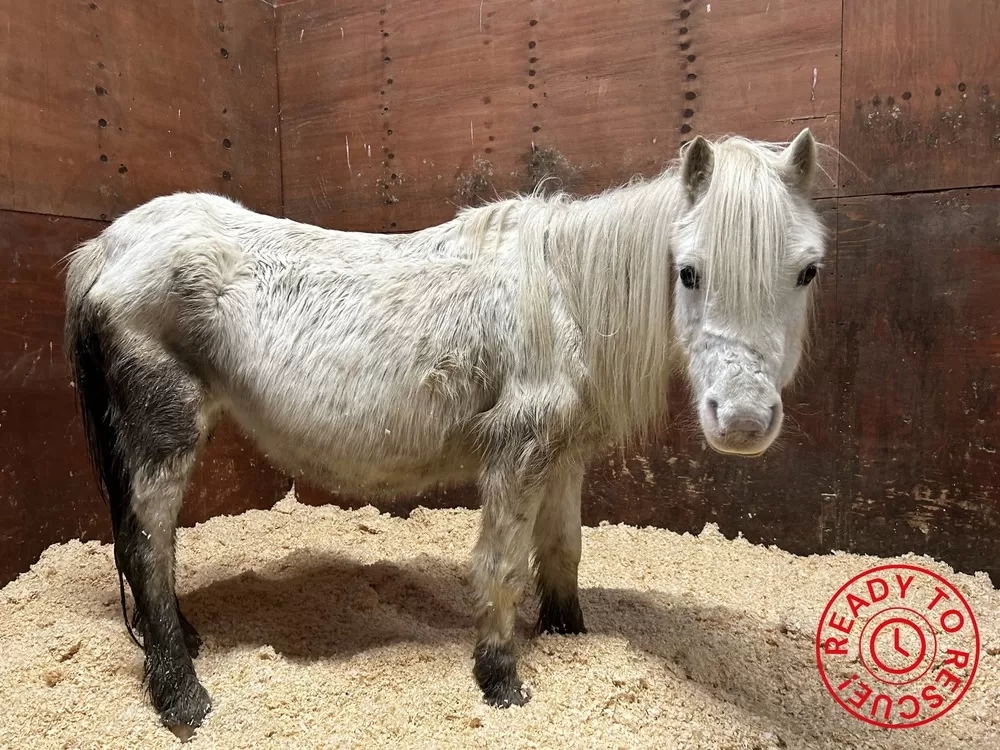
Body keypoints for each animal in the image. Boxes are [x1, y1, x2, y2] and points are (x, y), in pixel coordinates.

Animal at [64, 128, 826, 734]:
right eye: (688, 272)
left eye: (808, 270)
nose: (743, 420)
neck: (565, 293)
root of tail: (109, 245)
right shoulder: (518, 452)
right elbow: (502, 564)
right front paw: (500, 678)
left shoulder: (564, 457)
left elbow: (563, 552)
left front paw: (570, 634)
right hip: (164, 431)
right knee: (147, 549)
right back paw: (181, 697)